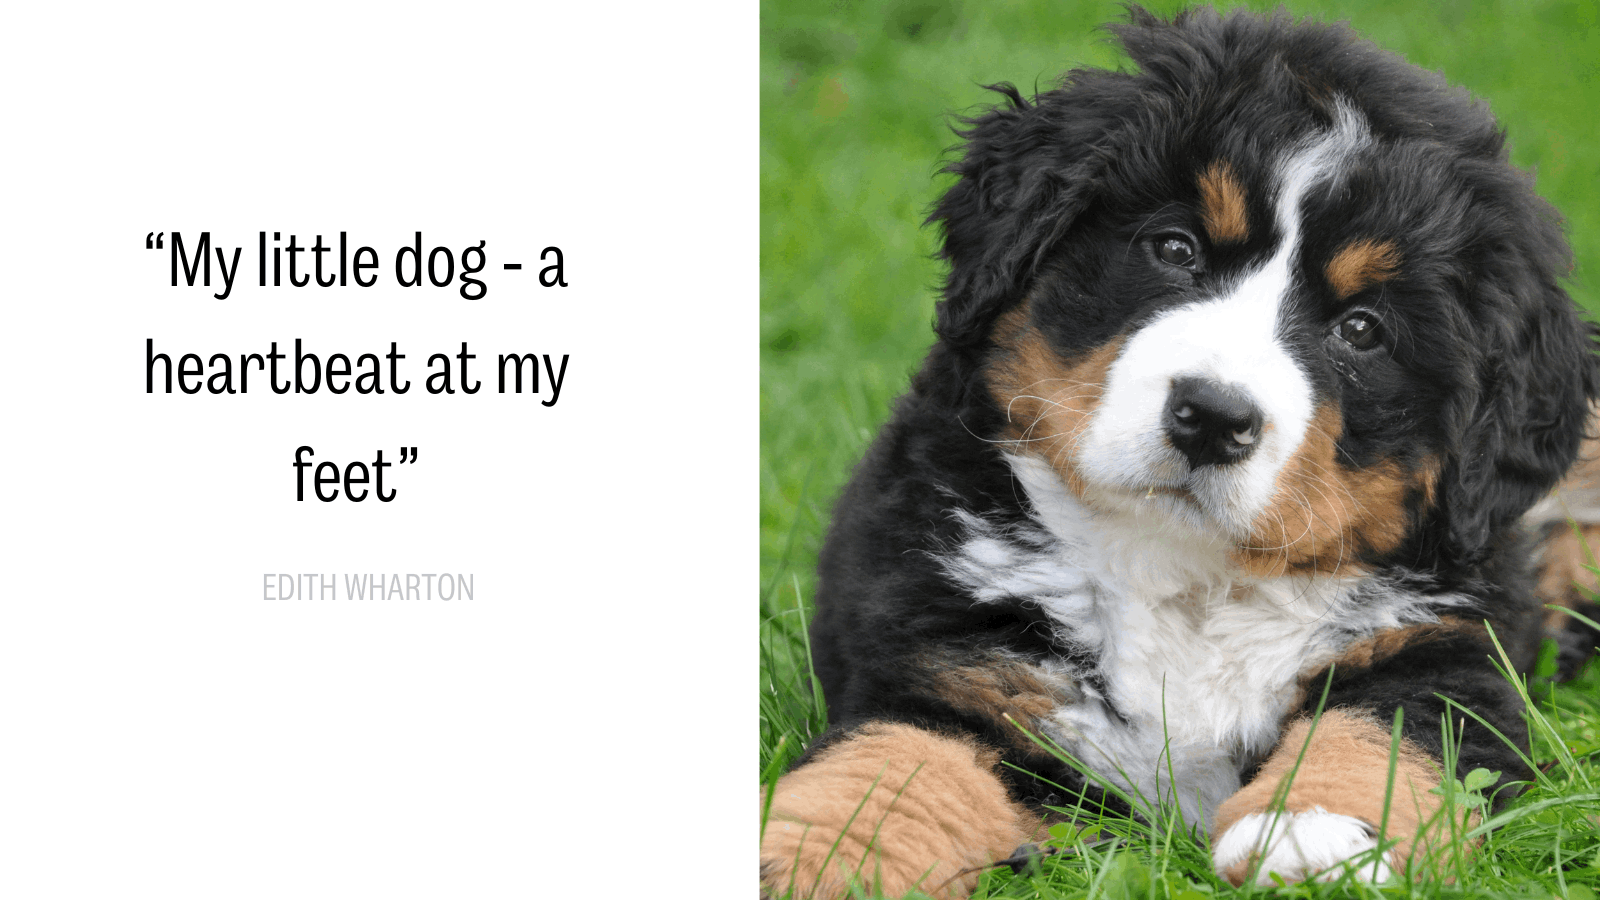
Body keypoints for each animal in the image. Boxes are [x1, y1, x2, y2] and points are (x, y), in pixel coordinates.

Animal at [760, 7, 1600, 897]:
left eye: (1362, 329)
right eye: (1173, 249)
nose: (1213, 417)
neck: (1187, 574)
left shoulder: (1448, 650)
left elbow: (1378, 732)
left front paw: (1313, 833)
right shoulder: (954, 659)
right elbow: (889, 767)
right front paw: (810, 853)